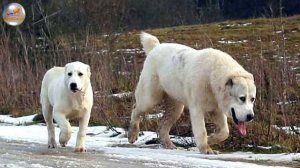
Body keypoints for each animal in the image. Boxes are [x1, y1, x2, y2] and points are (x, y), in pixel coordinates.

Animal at [127, 32, 256, 154]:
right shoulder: (199, 96)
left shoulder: (216, 102)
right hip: (153, 86)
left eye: (252, 99)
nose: (250, 116)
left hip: (174, 94)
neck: (212, 76)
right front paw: (206, 149)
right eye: (242, 98)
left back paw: (170, 145)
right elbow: (200, 126)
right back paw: (132, 135)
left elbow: (225, 130)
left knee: (170, 115)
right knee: (141, 105)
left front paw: (211, 139)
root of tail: (155, 47)